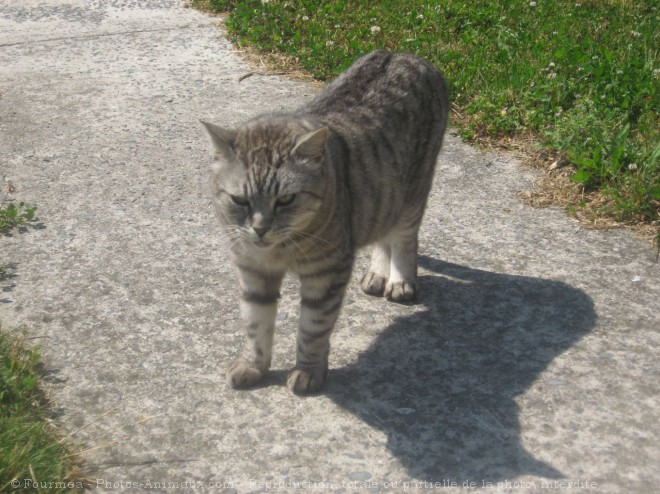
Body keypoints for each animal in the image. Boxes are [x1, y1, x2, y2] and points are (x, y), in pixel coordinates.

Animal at [201, 50, 448, 396]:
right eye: (240, 201)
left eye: (286, 199)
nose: (260, 228)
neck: (279, 251)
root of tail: (401, 53)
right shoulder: (252, 272)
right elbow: (255, 325)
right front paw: (253, 366)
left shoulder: (326, 274)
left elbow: (313, 329)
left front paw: (307, 372)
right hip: (381, 200)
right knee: (381, 235)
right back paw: (377, 273)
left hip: (411, 196)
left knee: (403, 239)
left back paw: (400, 280)